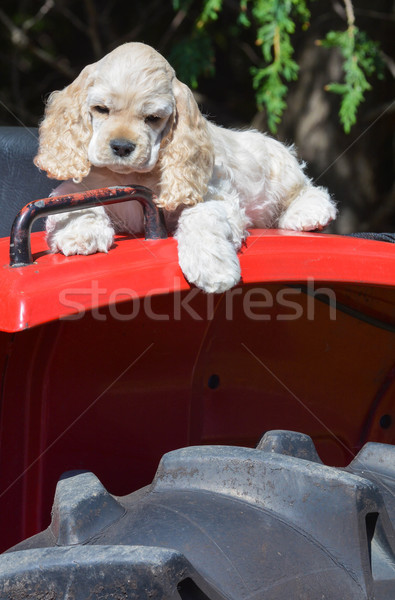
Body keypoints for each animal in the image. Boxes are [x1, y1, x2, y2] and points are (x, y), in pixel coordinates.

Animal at [34, 41, 338, 292]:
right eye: (101, 109)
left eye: (153, 118)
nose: (121, 147)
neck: (133, 175)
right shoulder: (81, 185)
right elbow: (73, 203)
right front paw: (80, 234)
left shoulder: (212, 195)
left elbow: (201, 216)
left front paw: (212, 266)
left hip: (278, 168)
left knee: (309, 188)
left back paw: (307, 213)